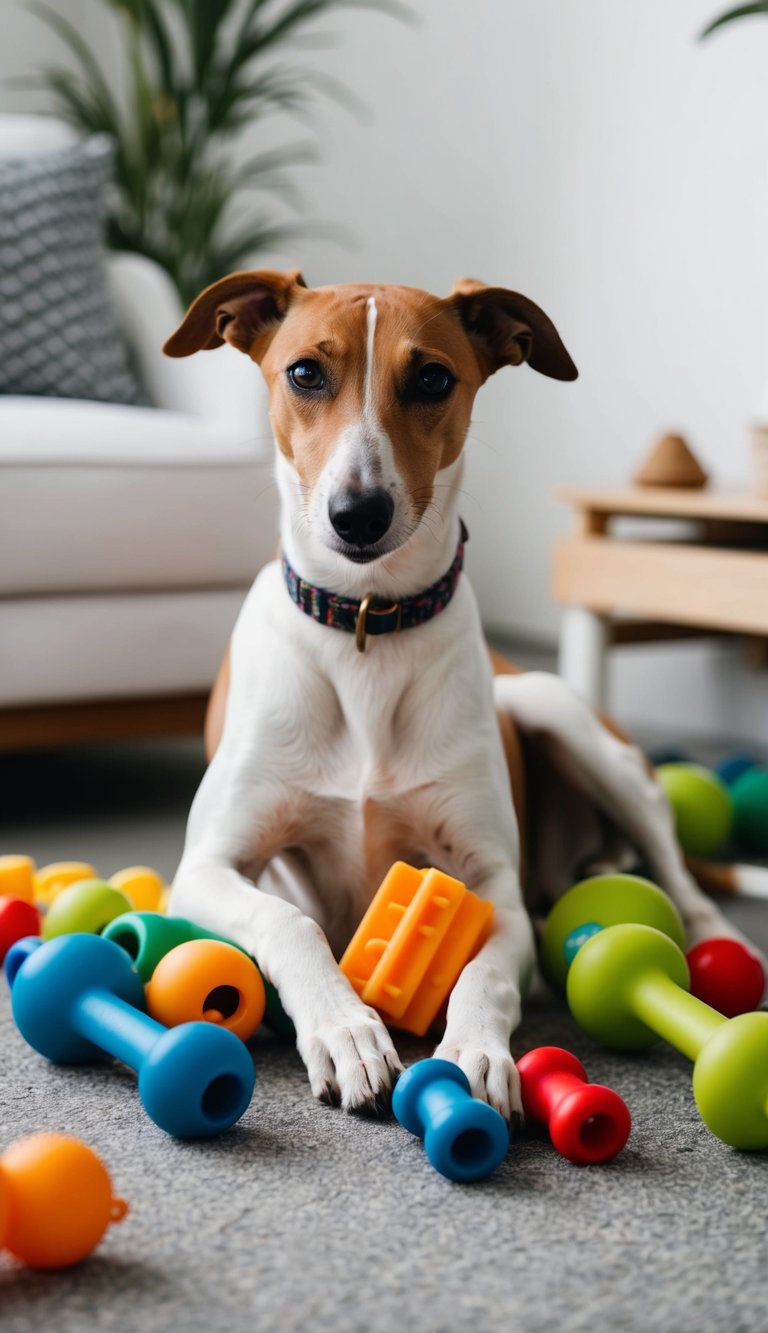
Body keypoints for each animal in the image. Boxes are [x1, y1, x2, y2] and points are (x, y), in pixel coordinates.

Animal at [163, 270, 754, 1120]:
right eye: (305, 373)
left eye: (433, 379)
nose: (358, 513)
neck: (367, 622)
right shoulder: (206, 867)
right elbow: (291, 920)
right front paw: (345, 1029)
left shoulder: (493, 885)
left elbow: (488, 970)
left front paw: (474, 1051)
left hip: (558, 712)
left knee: (683, 882)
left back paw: (724, 943)